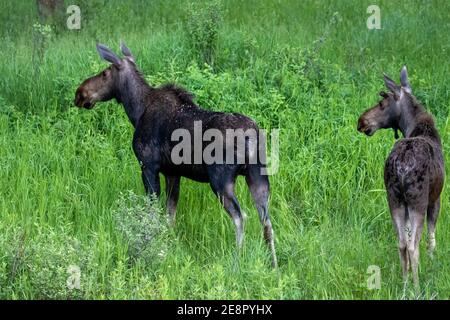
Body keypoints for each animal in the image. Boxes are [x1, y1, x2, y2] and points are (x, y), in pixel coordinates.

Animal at [74, 42, 278, 268]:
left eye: (104, 72)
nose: (80, 93)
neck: (135, 110)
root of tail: (253, 136)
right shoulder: (173, 173)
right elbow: (170, 215)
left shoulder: (148, 166)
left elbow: (153, 212)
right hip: (258, 176)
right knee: (267, 221)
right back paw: (274, 266)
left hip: (221, 179)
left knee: (241, 216)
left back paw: (236, 261)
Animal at [356, 66, 444, 288]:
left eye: (381, 103)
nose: (361, 121)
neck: (412, 126)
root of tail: (401, 167)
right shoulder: (435, 198)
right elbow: (432, 237)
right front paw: (433, 261)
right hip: (416, 202)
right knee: (413, 246)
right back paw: (416, 286)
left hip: (394, 200)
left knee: (402, 243)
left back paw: (404, 283)